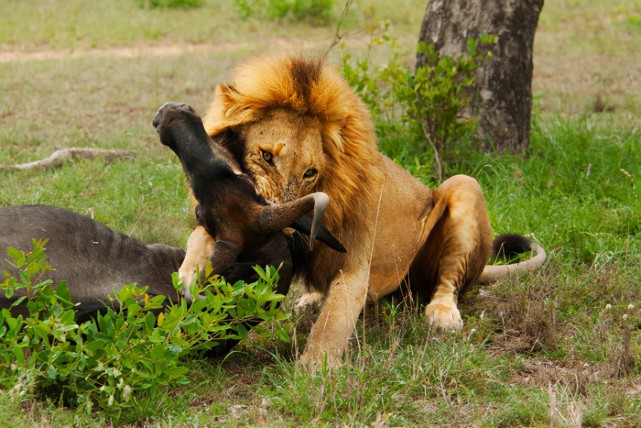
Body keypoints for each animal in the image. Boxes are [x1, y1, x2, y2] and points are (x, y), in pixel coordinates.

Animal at [178, 54, 548, 368]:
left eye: (310, 173)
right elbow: (201, 236)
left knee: (448, 280)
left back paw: (442, 313)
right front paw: (187, 276)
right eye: (266, 156)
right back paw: (310, 298)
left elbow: (336, 317)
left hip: (464, 185)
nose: (287, 232)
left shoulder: (355, 264)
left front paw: (315, 368)